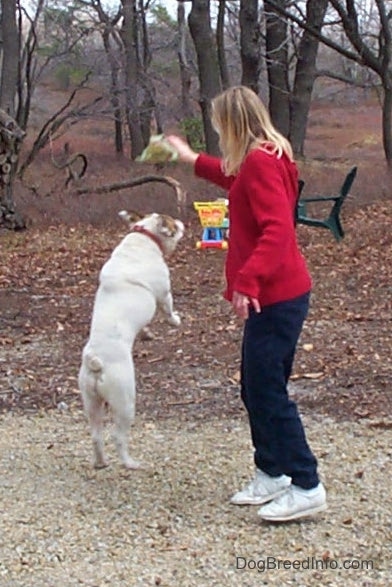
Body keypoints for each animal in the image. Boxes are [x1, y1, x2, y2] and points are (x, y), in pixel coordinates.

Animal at [79, 211, 185, 468]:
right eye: (174, 225)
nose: (182, 223)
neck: (144, 235)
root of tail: (95, 359)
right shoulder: (164, 294)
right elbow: (168, 310)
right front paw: (175, 321)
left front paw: (147, 332)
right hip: (125, 400)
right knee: (118, 436)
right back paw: (131, 463)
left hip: (91, 402)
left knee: (96, 435)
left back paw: (101, 463)